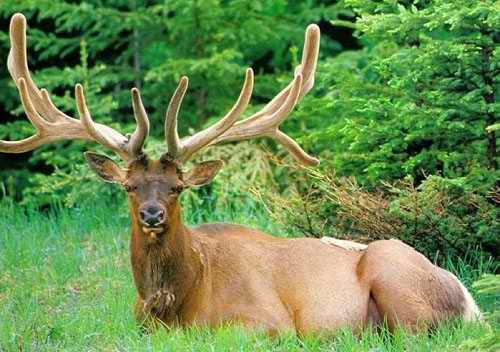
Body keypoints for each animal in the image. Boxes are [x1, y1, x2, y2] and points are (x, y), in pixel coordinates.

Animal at [1, 13, 482, 336]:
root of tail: (470, 301)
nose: (153, 215)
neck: (174, 305)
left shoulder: (265, 321)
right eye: (129, 187)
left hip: (394, 275)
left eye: (177, 188)